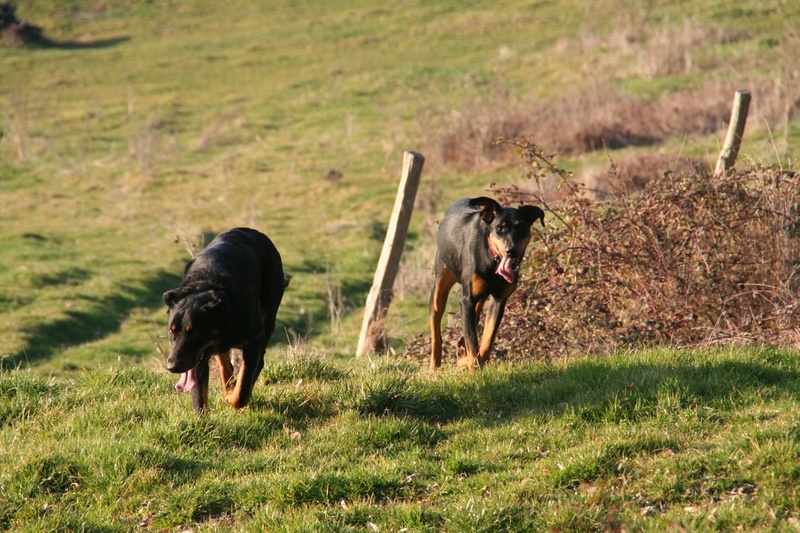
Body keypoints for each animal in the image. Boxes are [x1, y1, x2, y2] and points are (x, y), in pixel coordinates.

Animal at [162, 227, 288, 410]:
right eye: (171, 331)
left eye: (194, 333)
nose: (172, 366)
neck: (206, 283)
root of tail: (253, 232)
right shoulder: (197, 358)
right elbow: (199, 394)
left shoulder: (255, 338)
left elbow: (243, 387)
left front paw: (233, 396)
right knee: (222, 358)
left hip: (270, 314)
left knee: (258, 362)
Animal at [428, 196, 548, 370]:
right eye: (499, 228)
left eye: (521, 227)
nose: (511, 250)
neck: (493, 261)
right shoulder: (467, 299)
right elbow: (473, 341)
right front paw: (473, 366)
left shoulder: (499, 300)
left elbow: (487, 340)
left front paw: (472, 362)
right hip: (440, 282)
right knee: (436, 327)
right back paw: (434, 366)